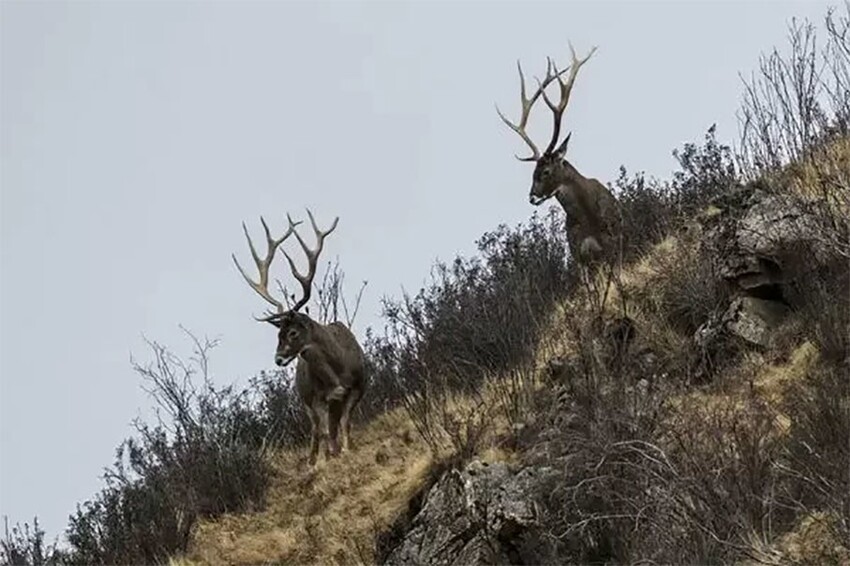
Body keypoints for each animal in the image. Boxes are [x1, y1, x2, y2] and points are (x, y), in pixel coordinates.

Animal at [230, 211, 366, 468]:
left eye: (292, 332)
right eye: (277, 334)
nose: (278, 359)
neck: (337, 373)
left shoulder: (359, 385)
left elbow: (345, 422)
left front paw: (346, 450)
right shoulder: (317, 398)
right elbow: (323, 431)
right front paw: (324, 460)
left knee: (331, 425)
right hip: (306, 402)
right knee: (316, 429)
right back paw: (315, 457)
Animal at [494, 42, 620, 268]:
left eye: (545, 171)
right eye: (532, 172)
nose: (532, 196)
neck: (588, 217)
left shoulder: (615, 240)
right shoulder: (578, 254)